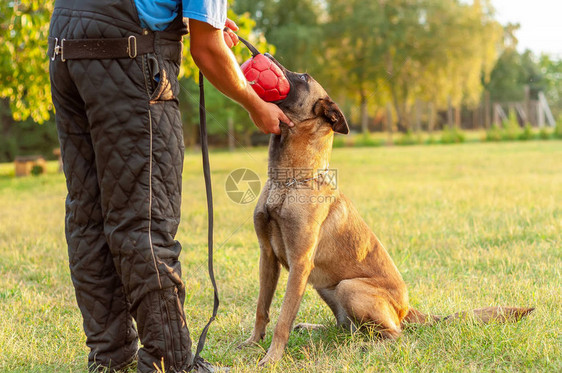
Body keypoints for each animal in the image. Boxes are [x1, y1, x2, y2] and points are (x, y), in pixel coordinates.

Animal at [237, 55, 532, 364]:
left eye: (304, 77)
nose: (267, 56)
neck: (288, 181)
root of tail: (407, 308)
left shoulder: (300, 263)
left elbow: (283, 317)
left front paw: (271, 358)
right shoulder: (267, 257)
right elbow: (262, 308)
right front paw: (254, 342)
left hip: (349, 287)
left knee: (394, 335)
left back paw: (365, 347)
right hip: (327, 288)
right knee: (346, 327)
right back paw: (313, 327)